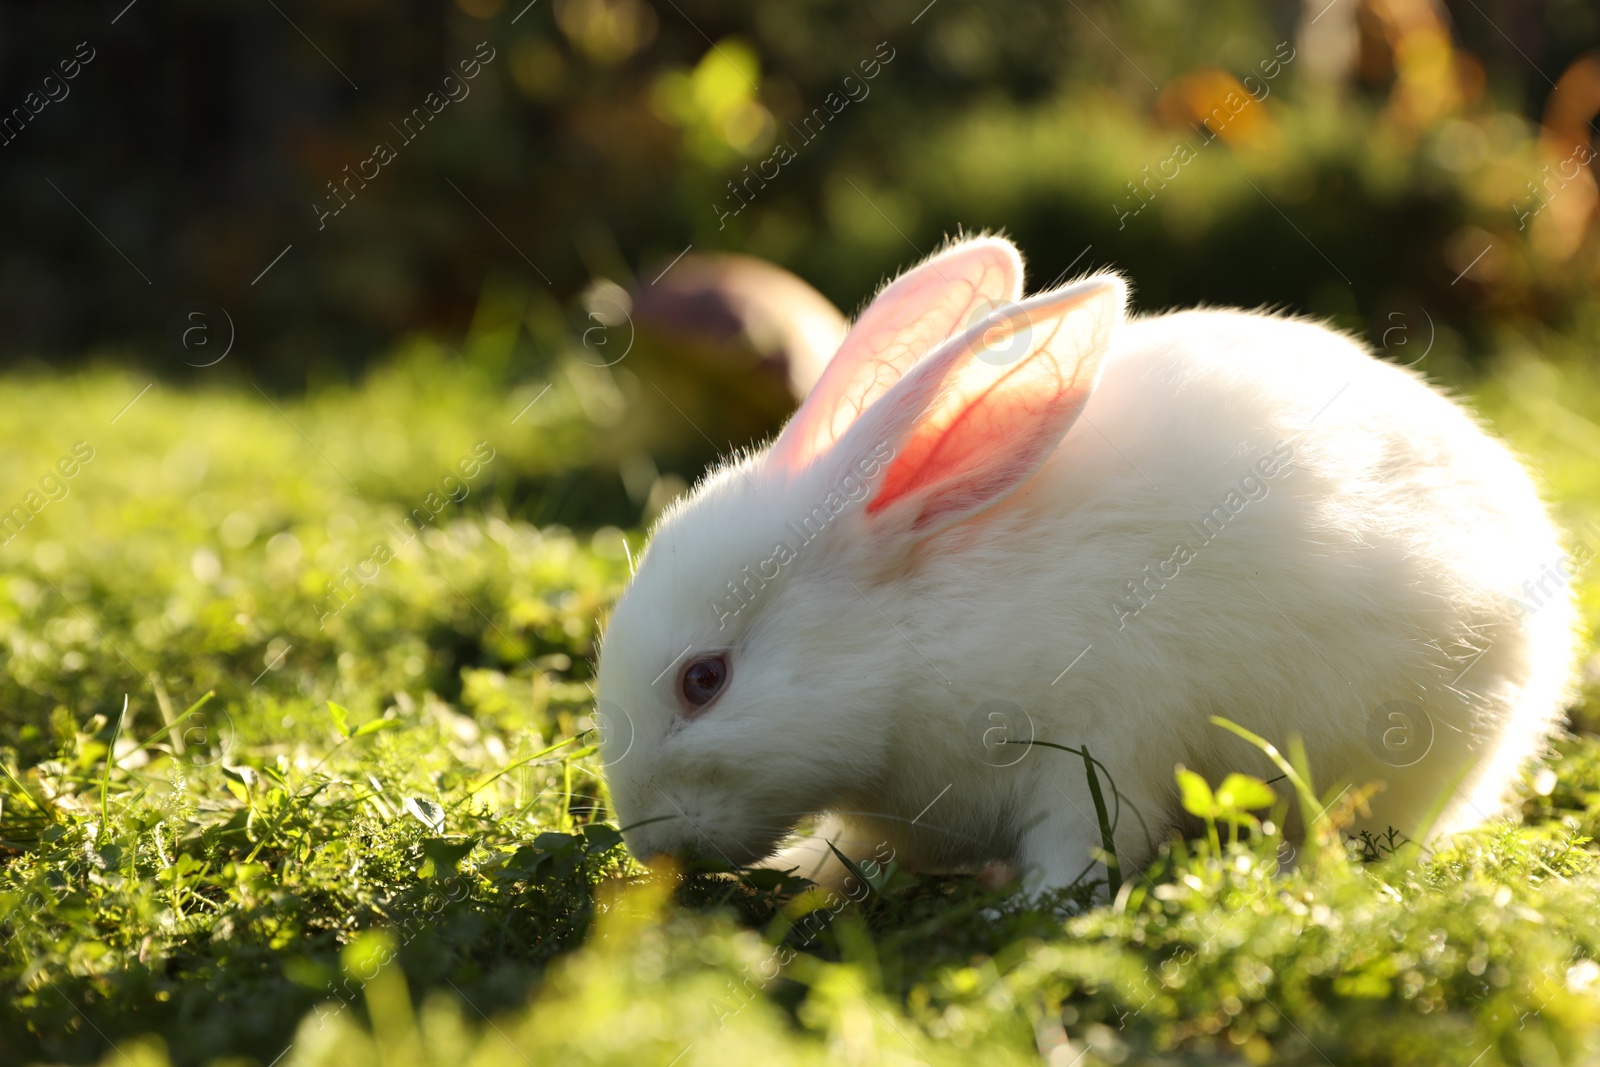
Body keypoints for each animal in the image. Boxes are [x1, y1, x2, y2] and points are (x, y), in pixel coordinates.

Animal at [595, 235, 1580, 902]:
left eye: (704, 680)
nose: (647, 846)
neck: (912, 636)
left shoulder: (1099, 750)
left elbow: (1085, 844)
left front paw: (1023, 907)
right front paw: (816, 865)